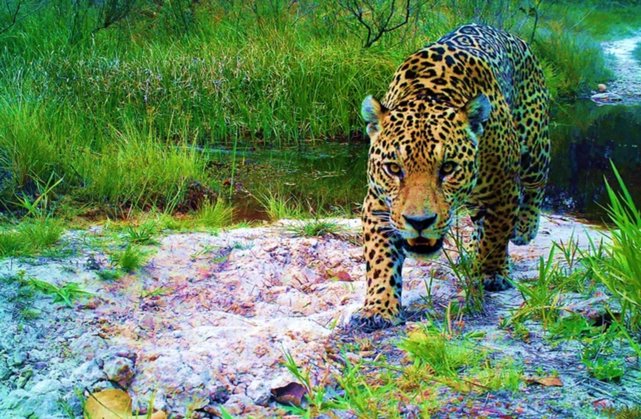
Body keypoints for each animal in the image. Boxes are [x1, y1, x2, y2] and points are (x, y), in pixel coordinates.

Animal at [354, 24, 550, 330]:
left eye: (447, 168)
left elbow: (495, 237)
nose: (419, 222)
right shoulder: (378, 202)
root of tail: (515, 38)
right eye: (394, 169)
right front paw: (379, 307)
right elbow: (379, 258)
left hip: (534, 141)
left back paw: (524, 229)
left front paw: (490, 273)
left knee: (535, 185)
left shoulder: (502, 190)